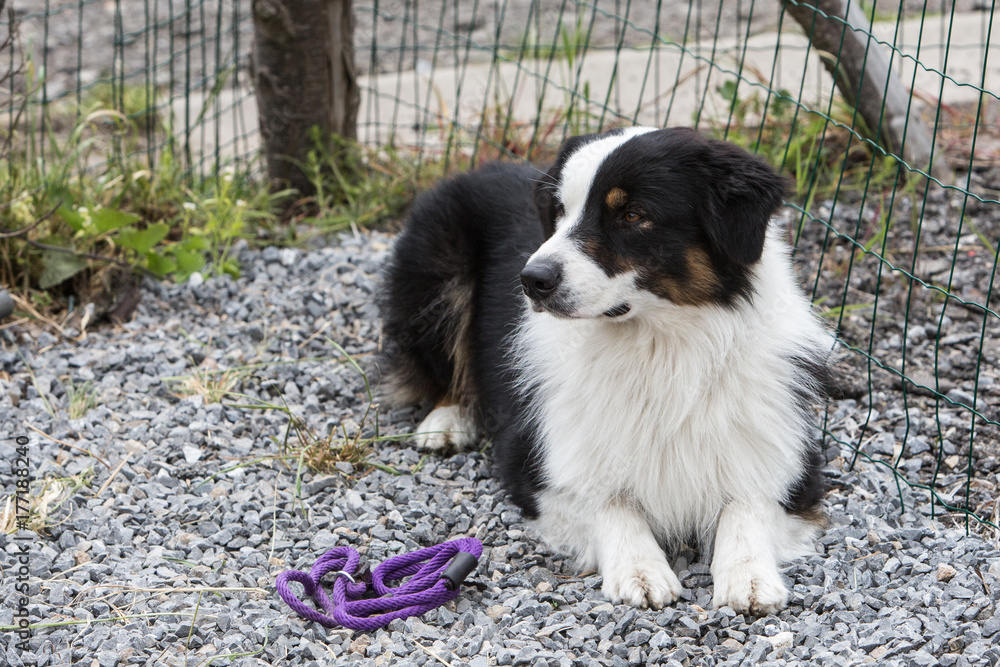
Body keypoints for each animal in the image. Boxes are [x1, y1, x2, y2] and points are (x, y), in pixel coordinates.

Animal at [378, 128, 832, 612]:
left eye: (632, 215)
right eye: (560, 212)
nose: (532, 280)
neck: (660, 349)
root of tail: (478, 168)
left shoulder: (787, 461)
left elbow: (747, 505)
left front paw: (748, 575)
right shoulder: (538, 463)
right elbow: (611, 503)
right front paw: (641, 569)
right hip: (435, 273)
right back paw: (447, 420)